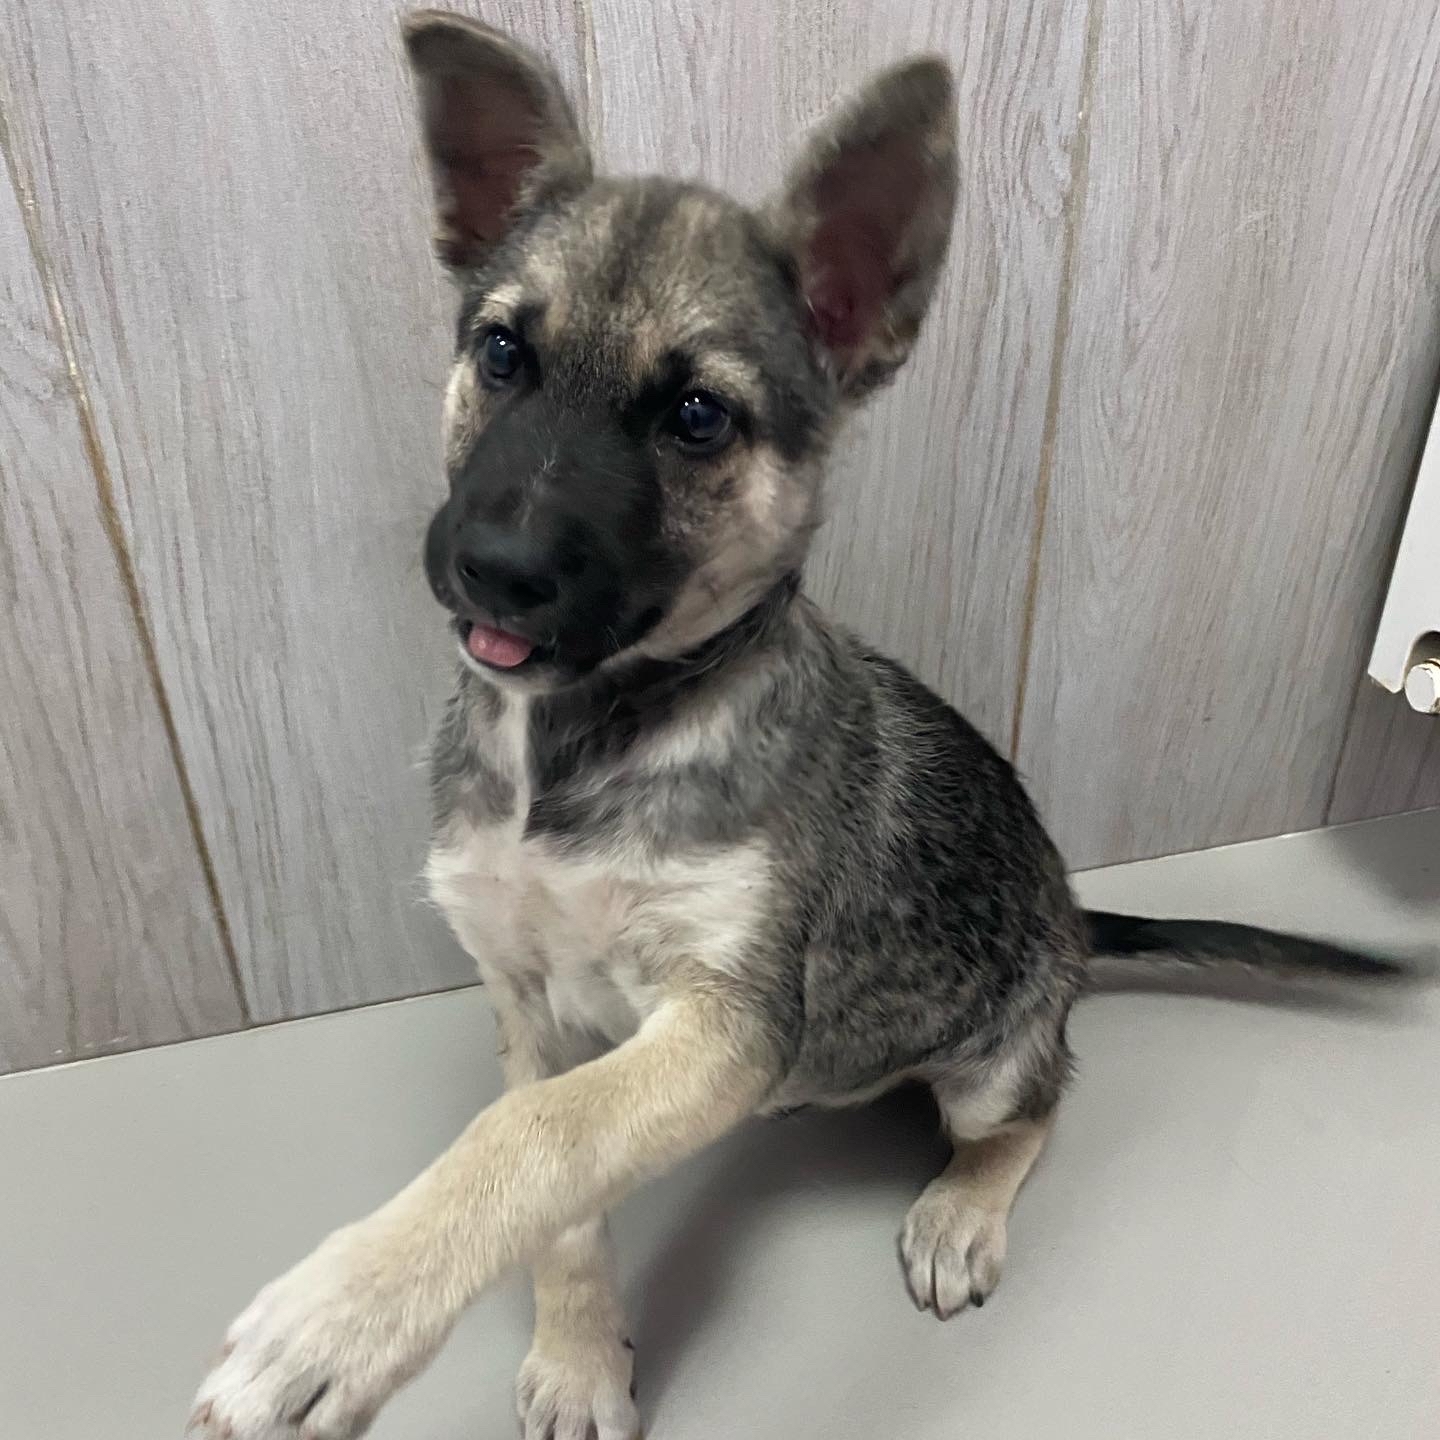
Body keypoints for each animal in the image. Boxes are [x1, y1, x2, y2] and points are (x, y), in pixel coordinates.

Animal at [191, 14, 1393, 1440]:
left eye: (696, 415)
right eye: (501, 354)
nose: (493, 567)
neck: (589, 741)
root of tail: (1068, 923)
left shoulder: (727, 1019)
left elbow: (531, 1140)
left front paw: (335, 1319)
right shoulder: (532, 1005)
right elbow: (557, 1199)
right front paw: (578, 1358)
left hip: (990, 1059)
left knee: (1040, 1103)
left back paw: (961, 1211)